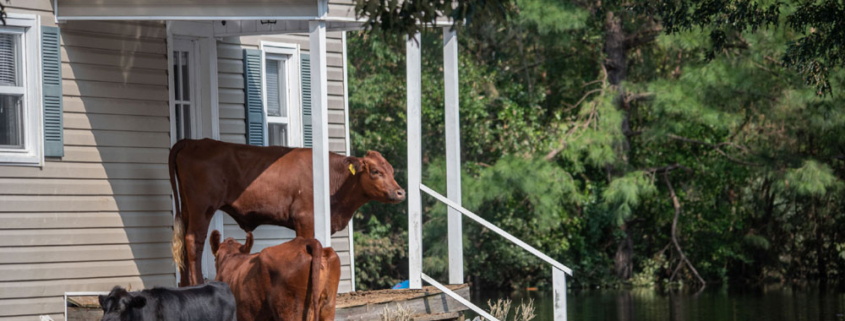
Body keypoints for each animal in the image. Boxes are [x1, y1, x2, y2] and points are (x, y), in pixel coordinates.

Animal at [170, 139, 404, 284]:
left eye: (392, 170)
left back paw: (184, 285)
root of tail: (195, 141)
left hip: (188, 208)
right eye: (375, 171)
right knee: (193, 241)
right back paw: (196, 283)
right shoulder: (305, 219)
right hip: (202, 207)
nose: (400, 192)